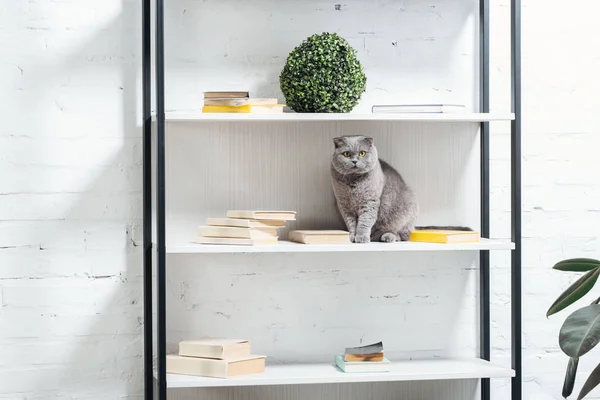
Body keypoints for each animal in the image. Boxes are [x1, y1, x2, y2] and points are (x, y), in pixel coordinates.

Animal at [330, 134, 466, 242]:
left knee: (403, 235)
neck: (353, 182)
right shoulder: (344, 205)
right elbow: (351, 223)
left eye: (362, 153)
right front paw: (352, 237)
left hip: (407, 211)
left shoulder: (370, 202)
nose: (354, 161)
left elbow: (364, 221)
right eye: (346, 154)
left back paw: (387, 237)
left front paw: (362, 237)